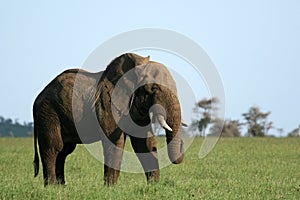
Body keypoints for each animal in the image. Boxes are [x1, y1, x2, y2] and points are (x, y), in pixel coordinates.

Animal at [32, 52, 183, 186]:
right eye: (154, 88)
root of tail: (37, 97)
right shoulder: (108, 104)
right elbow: (115, 141)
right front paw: (111, 188)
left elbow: (143, 143)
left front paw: (154, 186)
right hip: (48, 112)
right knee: (53, 147)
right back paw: (51, 187)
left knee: (64, 151)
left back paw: (61, 186)